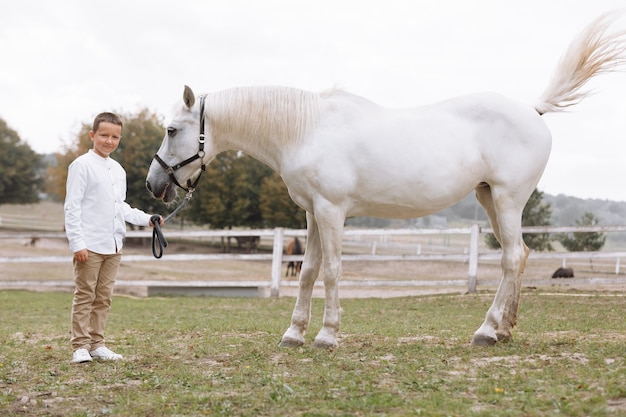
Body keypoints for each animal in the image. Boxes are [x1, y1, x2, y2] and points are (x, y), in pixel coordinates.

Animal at [145, 13, 620, 346]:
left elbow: (333, 270)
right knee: (517, 257)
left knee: (511, 258)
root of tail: (533, 109)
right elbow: (308, 271)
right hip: (489, 199)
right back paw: (503, 330)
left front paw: (327, 336)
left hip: (507, 200)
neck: (307, 129)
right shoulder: (312, 215)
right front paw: (294, 334)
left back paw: (487, 331)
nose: (153, 184)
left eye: (171, 129)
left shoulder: (332, 212)